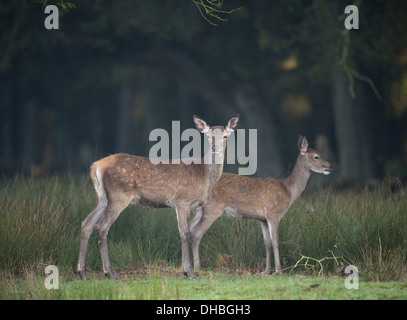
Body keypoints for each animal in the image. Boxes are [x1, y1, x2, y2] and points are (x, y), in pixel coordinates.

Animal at [78, 115, 241, 280]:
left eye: (225, 136)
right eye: (208, 136)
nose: (215, 148)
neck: (204, 175)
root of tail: (96, 166)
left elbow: (184, 232)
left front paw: (185, 270)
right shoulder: (182, 200)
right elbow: (185, 233)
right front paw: (189, 273)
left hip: (103, 197)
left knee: (87, 223)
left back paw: (82, 272)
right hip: (119, 194)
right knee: (102, 226)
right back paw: (109, 273)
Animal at [190, 134, 334, 272]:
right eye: (316, 156)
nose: (330, 166)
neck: (289, 190)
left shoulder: (263, 219)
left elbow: (267, 243)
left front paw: (267, 270)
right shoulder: (273, 213)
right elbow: (276, 241)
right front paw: (279, 270)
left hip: (200, 210)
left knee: (188, 229)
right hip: (212, 208)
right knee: (196, 233)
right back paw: (197, 267)